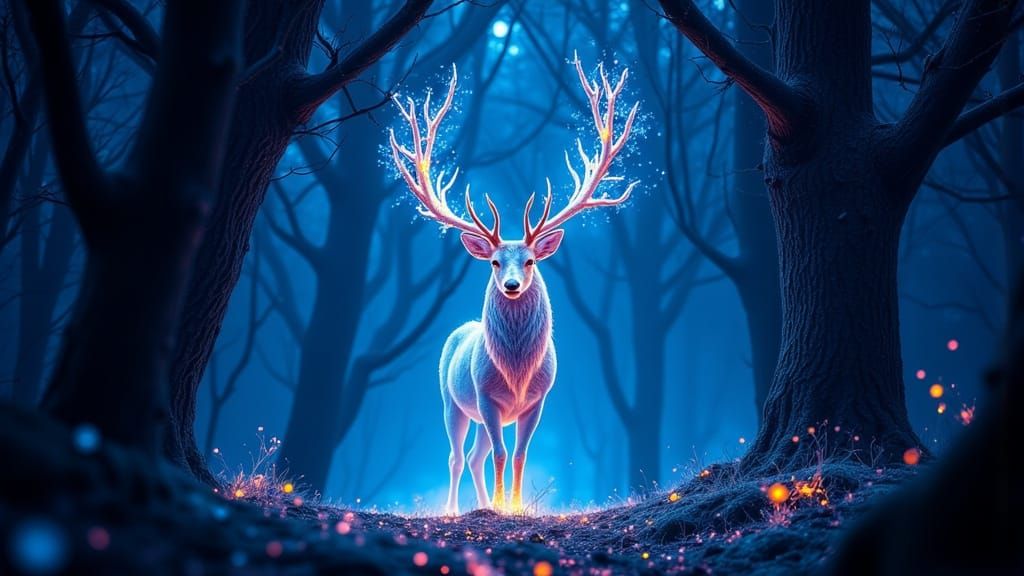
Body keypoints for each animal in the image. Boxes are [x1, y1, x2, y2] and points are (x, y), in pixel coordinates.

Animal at [388, 55, 638, 514]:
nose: (510, 285)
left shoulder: (538, 401)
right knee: (457, 455)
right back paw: (455, 509)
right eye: (493, 261)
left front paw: (515, 506)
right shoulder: (486, 398)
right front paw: (503, 506)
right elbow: (502, 454)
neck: (518, 374)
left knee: (475, 455)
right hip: (452, 400)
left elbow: (520, 453)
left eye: (531, 260)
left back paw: (485, 501)